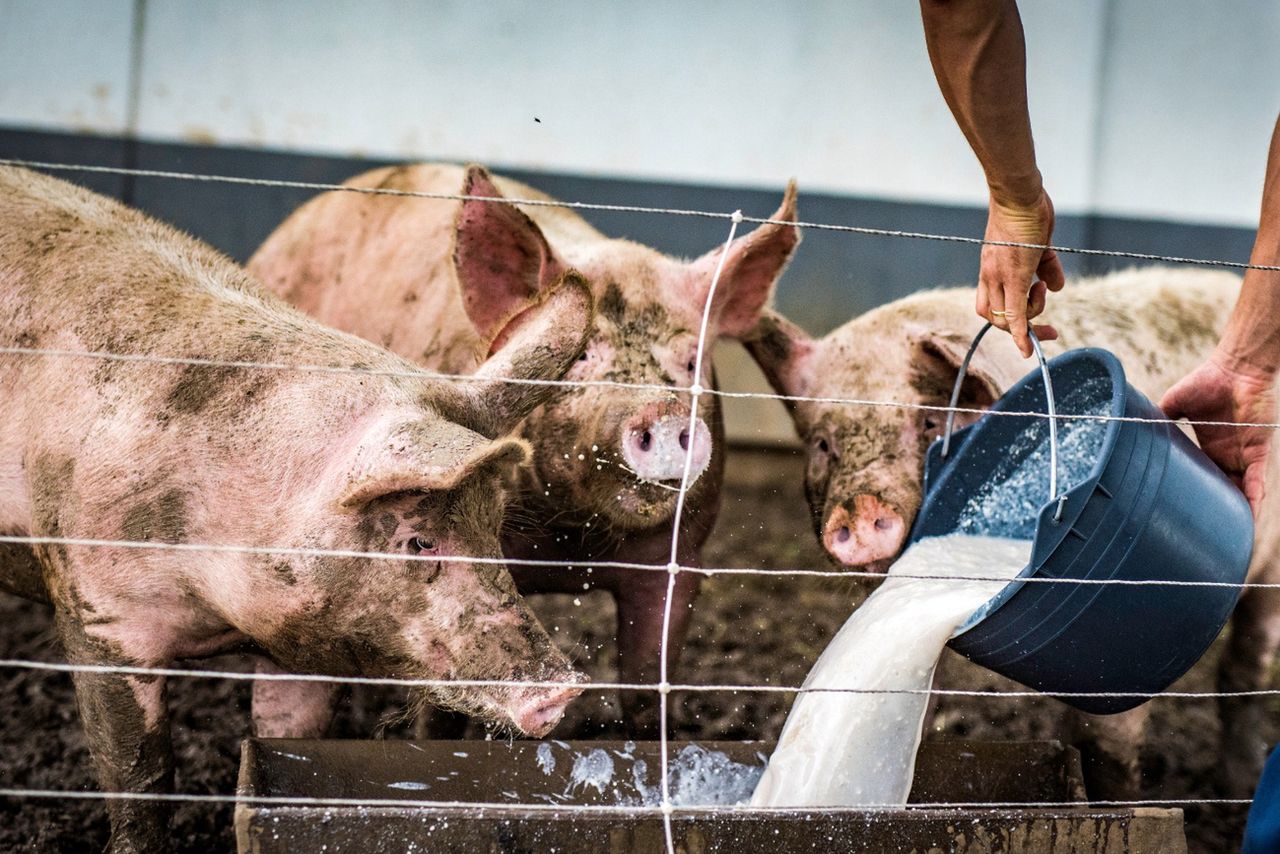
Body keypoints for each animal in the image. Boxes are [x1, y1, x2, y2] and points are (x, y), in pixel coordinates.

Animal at [0, 163, 588, 850]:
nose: (563, 688)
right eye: (418, 540)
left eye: (494, 527)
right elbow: (139, 771)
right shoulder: (96, 609)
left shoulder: (299, 643)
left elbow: (289, 733)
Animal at [249, 161, 798, 737]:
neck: (573, 545)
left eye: (692, 361)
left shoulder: (680, 559)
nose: (663, 411)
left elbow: (649, 693)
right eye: (581, 356)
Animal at [747, 265, 1259, 793]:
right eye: (823, 443)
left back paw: (1235, 785)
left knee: (1244, 672)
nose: (860, 504)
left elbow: (1105, 742)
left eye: (929, 421)